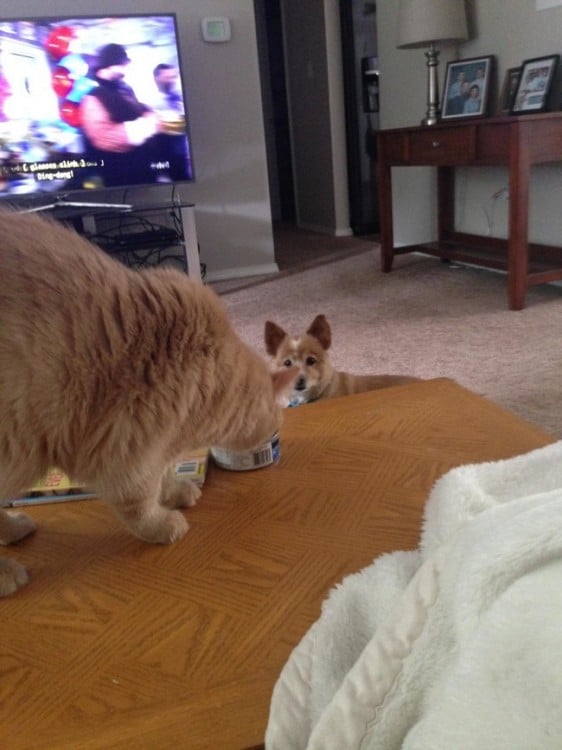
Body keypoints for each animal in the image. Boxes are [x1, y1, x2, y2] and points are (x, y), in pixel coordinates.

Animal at [0, 213, 296, 600]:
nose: (275, 432)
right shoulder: (126, 447)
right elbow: (139, 503)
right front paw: (162, 524)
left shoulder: (158, 441)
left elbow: (165, 473)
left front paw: (175, 491)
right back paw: (6, 572)